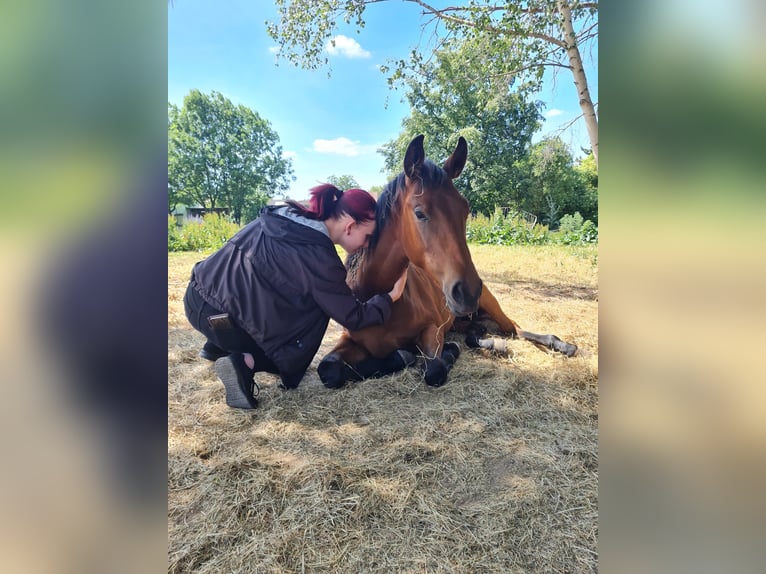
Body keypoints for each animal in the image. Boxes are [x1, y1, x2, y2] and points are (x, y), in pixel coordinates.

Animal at [316, 134, 576, 392]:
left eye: (465, 210)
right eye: (419, 213)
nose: (468, 291)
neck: (376, 297)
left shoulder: (434, 330)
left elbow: (434, 369)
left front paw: (438, 353)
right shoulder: (349, 340)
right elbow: (328, 369)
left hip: (491, 308)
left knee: (515, 329)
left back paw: (560, 345)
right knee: (476, 332)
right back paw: (492, 343)